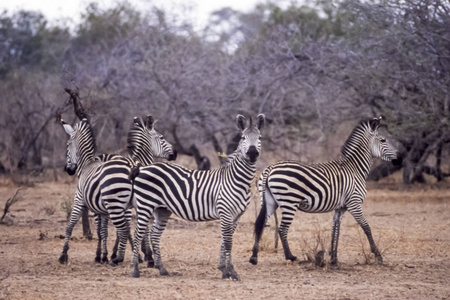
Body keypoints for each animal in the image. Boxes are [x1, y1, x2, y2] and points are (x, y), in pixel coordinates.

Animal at [60, 116, 177, 266]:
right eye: (162, 137)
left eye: (67, 145)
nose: (68, 170)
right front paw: (143, 254)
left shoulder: (80, 199)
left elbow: (71, 225)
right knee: (107, 228)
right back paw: (107, 255)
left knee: (109, 228)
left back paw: (108, 255)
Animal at [129, 113, 264, 280]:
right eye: (243, 138)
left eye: (260, 137)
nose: (252, 153)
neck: (237, 180)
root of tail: (143, 167)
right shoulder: (226, 212)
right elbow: (228, 242)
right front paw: (232, 271)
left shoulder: (236, 216)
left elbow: (224, 240)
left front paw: (223, 270)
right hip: (145, 205)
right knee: (138, 234)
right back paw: (135, 270)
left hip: (162, 209)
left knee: (154, 235)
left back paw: (162, 269)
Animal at [250, 116, 400, 266]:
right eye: (383, 140)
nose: (399, 159)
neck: (355, 168)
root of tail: (270, 167)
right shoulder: (354, 203)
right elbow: (366, 227)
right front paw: (378, 255)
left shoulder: (340, 207)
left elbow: (336, 230)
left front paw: (334, 258)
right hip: (289, 202)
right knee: (282, 229)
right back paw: (290, 256)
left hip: (271, 202)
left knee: (261, 224)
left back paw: (254, 257)